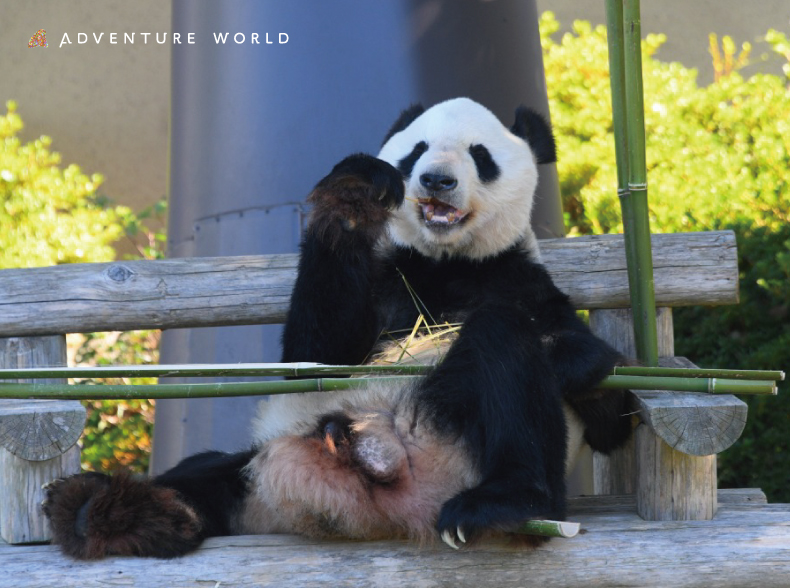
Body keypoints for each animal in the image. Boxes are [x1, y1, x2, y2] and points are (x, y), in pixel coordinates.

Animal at [44, 99, 636, 560]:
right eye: (416, 151)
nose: (436, 180)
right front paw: (357, 195)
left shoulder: (522, 280)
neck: (444, 264)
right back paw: (109, 511)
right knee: (208, 473)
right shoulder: (385, 279)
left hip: (465, 447)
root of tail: (379, 473)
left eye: (479, 155)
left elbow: (610, 406)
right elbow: (312, 357)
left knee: (504, 345)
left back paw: (504, 505)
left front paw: (570, 357)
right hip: (268, 459)